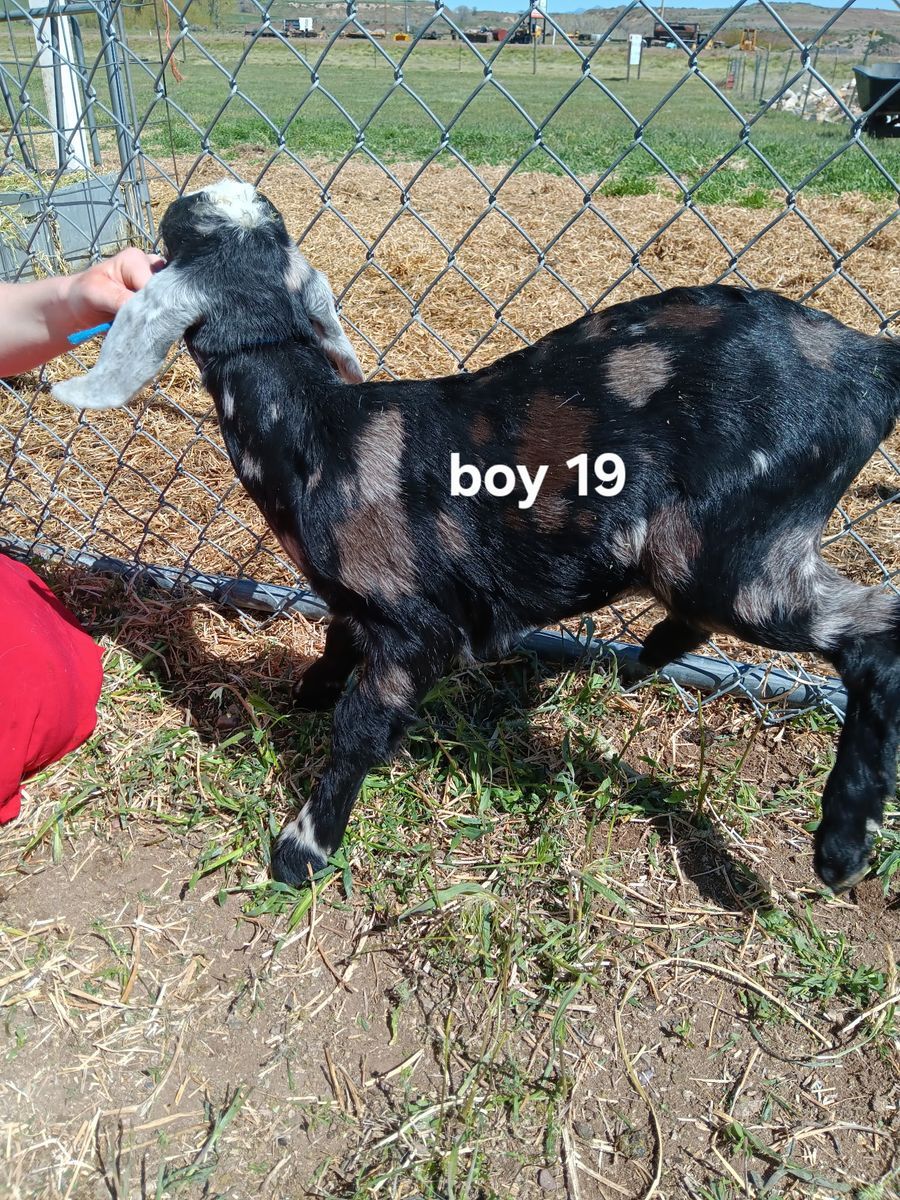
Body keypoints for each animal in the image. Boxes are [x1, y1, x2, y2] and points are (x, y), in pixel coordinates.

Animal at [53, 179, 900, 894]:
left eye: (178, 232)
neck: (319, 429)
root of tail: (870, 362)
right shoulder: (356, 600)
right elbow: (335, 639)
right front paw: (308, 691)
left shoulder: (415, 625)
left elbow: (360, 730)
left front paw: (302, 850)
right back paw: (654, 654)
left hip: (731, 547)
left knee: (874, 634)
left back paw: (841, 843)